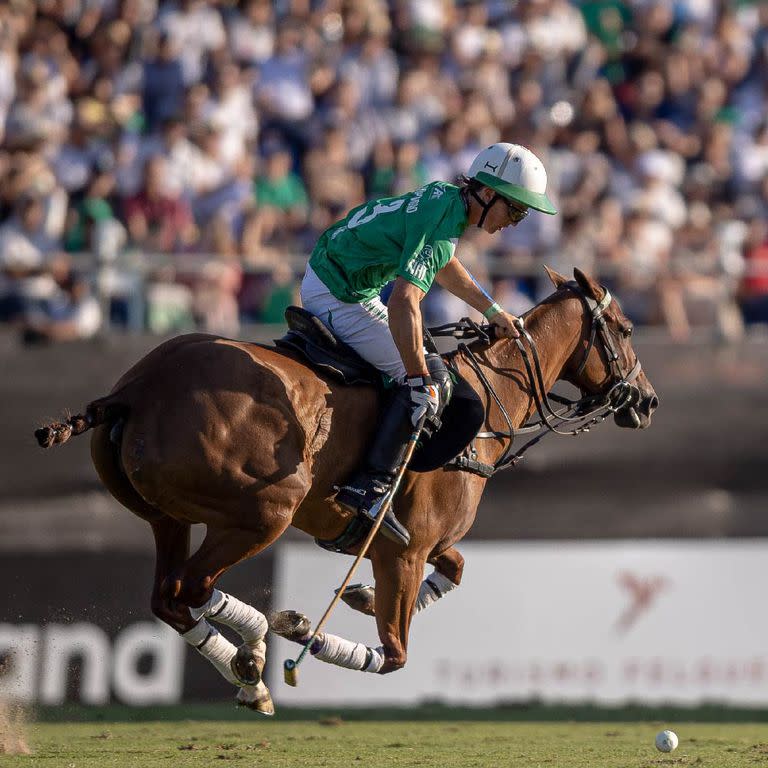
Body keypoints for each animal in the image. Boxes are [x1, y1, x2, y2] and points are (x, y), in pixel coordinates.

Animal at [36, 268, 656, 712]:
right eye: (625, 329)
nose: (647, 401)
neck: (488, 399)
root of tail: (136, 388)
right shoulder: (404, 549)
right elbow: (395, 654)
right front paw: (306, 633)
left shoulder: (414, 544)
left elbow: (455, 568)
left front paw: (354, 598)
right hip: (263, 511)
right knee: (190, 587)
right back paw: (261, 650)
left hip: (171, 517)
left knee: (169, 596)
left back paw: (251, 671)